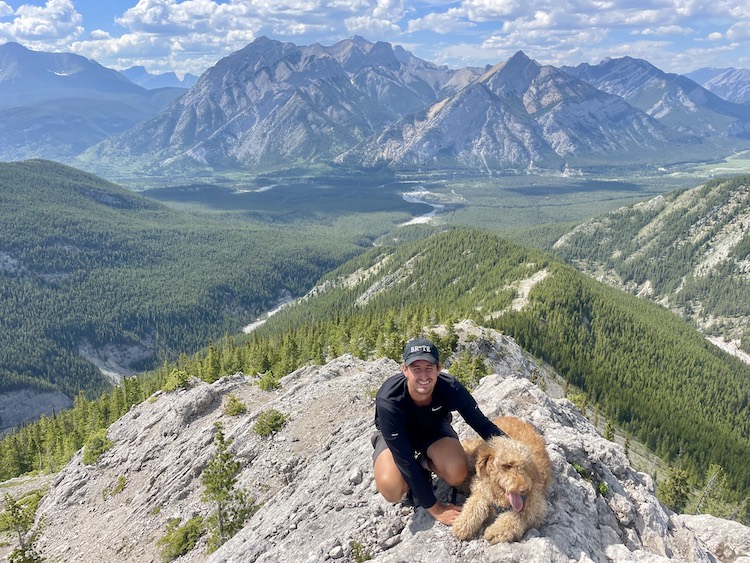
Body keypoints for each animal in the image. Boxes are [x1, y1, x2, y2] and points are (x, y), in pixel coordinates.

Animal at [452, 416, 552, 544]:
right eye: (507, 465)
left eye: (525, 466)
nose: (524, 489)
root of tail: (508, 416)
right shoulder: (480, 489)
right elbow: (474, 505)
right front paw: (463, 524)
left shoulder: (536, 508)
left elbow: (516, 516)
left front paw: (495, 531)